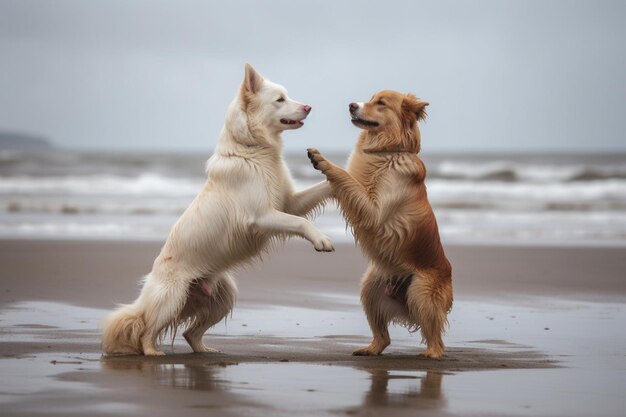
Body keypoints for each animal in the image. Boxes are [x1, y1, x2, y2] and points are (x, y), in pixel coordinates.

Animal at [103, 64, 334, 354]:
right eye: (280, 99)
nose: (309, 107)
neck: (253, 149)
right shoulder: (260, 216)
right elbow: (300, 222)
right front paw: (322, 240)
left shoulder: (290, 203)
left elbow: (317, 193)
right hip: (172, 297)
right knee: (147, 329)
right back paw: (153, 352)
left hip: (222, 297)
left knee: (189, 332)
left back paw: (205, 351)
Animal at [306, 91, 448, 358]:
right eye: (371, 98)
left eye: (381, 103)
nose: (352, 105)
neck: (387, 153)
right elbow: (344, 183)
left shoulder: (374, 211)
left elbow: (346, 177)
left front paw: (324, 161)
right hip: (370, 289)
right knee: (384, 338)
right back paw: (369, 349)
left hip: (421, 292)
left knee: (436, 338)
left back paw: (431, 354)